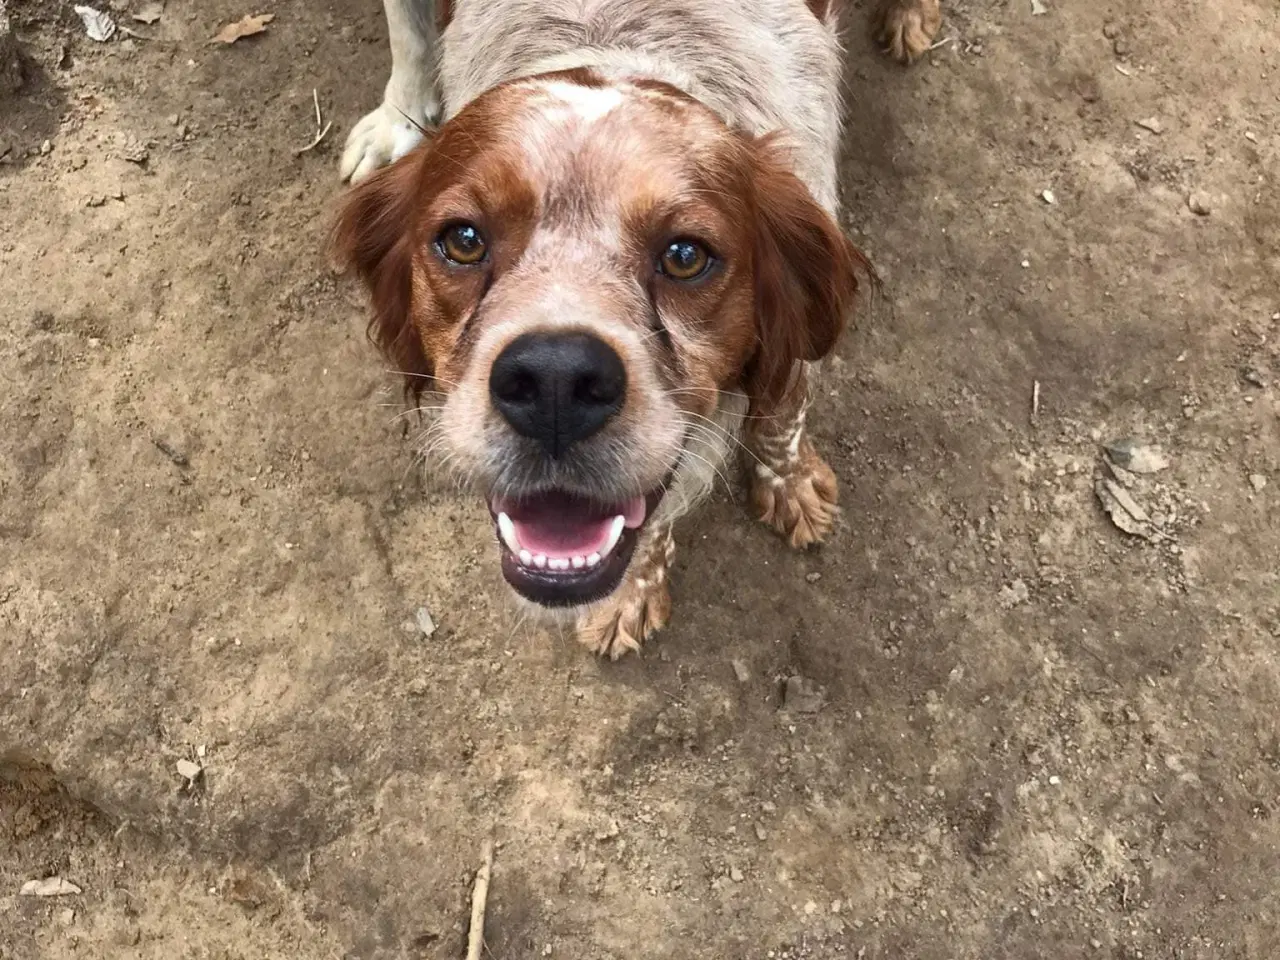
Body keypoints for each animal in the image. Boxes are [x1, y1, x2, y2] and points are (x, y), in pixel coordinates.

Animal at [335, 0, 947, 660]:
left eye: (685, 255)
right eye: (464, 240)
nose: (554, 384)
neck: (620, 34)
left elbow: (782, 415)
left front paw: (789, 484)